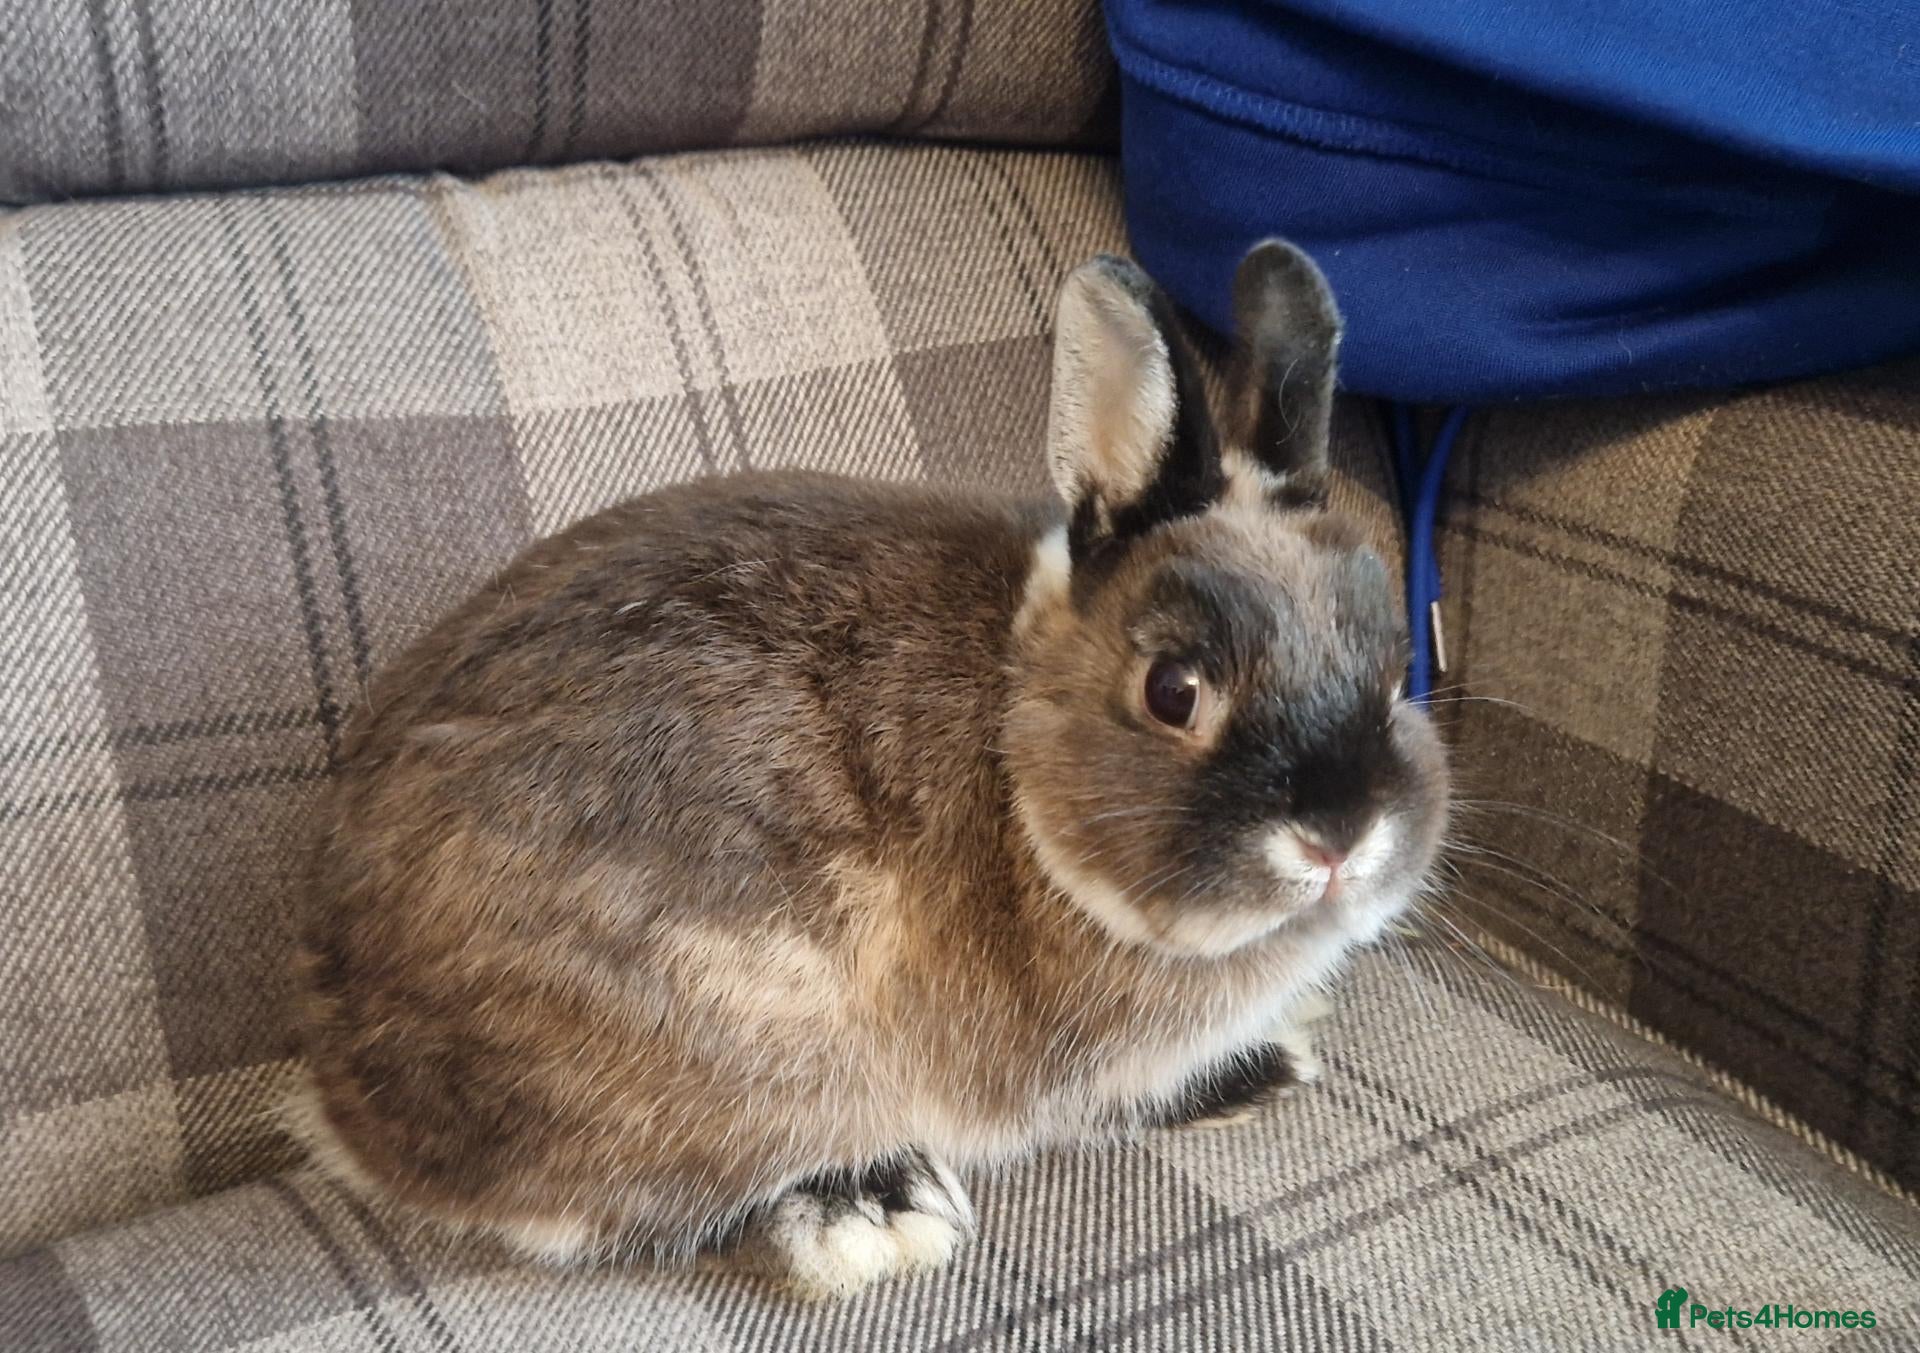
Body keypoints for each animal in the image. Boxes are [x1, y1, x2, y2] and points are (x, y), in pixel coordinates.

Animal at [288, 239, 1450, 1300]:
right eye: (1174, 690)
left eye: (1394, 666)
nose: (1340, 838)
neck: (1018, 750)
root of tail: (342, 1092)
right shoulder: (1084, 1068)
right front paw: (1275, 1063)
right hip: (746, 1041)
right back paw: (877, 1209)